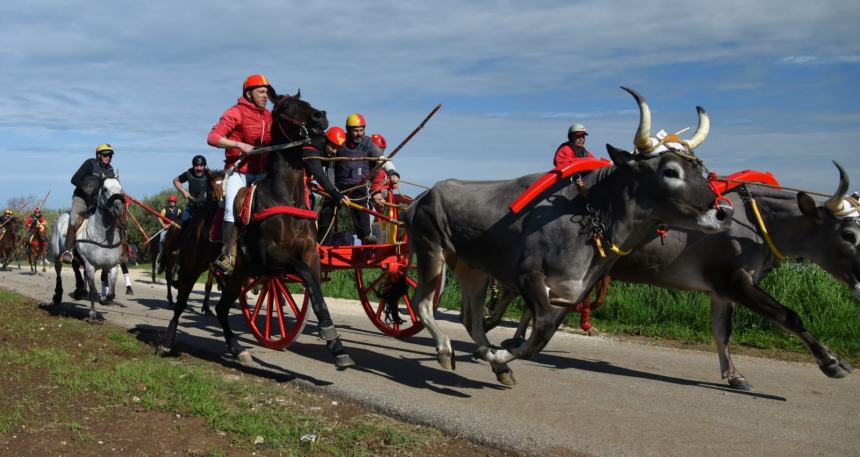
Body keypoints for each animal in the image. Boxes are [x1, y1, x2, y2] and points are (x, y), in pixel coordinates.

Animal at [50, 176, 126, 318]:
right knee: (58, 271)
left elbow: (111, 293)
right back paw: (58, 296)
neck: (102, 236)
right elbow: (93, 290)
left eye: (121, 189)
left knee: (75, 267)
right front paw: (92, 313)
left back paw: (79, 289)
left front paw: (104, 300)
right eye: (105, 189)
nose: (119, 207)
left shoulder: (112, 266)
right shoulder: (90, 266)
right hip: (57, 255)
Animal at [156, 92, 354, 366]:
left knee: (221, 308)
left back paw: (237, 348)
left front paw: (336, 344)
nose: (320, 116)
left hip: (239, 273)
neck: (284, 197)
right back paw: (167, 341)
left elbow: (316, 292)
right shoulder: (269, 257)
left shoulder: (310, 254)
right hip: (192, 265)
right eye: (284, 106)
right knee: (181, 301)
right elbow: (303, 274)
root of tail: (194, 218)